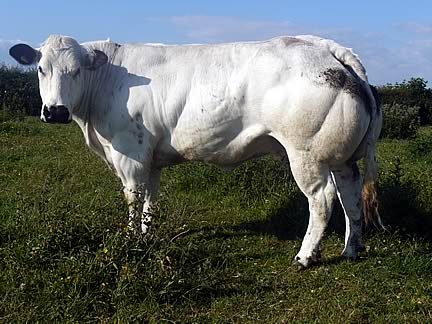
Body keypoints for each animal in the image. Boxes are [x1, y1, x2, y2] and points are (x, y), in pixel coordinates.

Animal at [10, 34, 382, 268]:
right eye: (41, 68)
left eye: (74, 71)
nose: (55, 111)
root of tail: (323, 47)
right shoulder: (152, 158)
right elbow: (151, 201)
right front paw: (146, 235)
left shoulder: (130, 152)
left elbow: (133, 197)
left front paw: (129, 240)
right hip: (341, 157)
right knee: (350, 195)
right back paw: (351, 249)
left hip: (306, 154)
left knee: (322, 199)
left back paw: (305, 257)